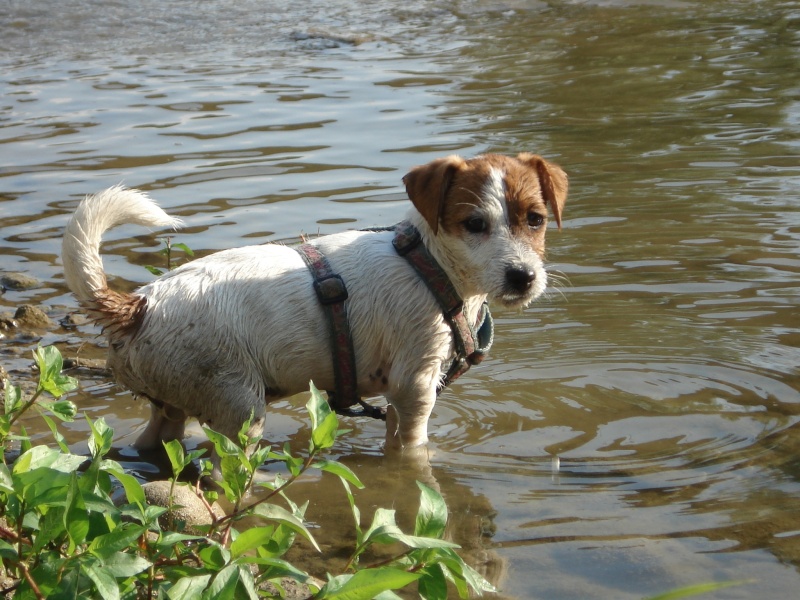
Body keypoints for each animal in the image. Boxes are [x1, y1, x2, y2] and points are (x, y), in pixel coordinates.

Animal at [62, 155, 568, 460]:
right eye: (474, 224)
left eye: (536, 220)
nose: (523, 277)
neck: (430, 265)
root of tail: (139, 305)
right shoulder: (415, 387)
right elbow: (413, 449)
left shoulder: (397, 396)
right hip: (239, 409)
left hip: (169, 408)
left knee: (149, 443)